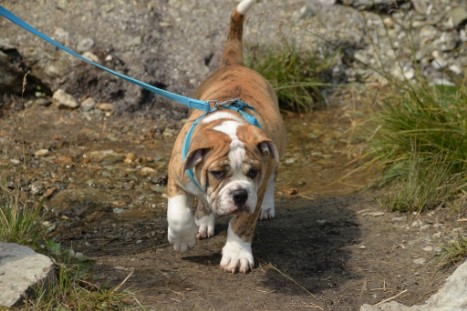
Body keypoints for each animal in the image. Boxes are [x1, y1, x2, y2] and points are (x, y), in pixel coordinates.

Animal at [166, 0, 288, 272]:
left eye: (252, 172)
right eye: (218, 173)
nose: (239, 194)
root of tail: (235, 64)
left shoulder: (255, 189)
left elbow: (242, 223)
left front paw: (237, 254)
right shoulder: (176, 173)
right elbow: (177, 214)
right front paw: (182, 238)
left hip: (274, 152)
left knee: (272, 179)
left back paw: (267, 208)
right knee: (201, 202)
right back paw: (203, 221)